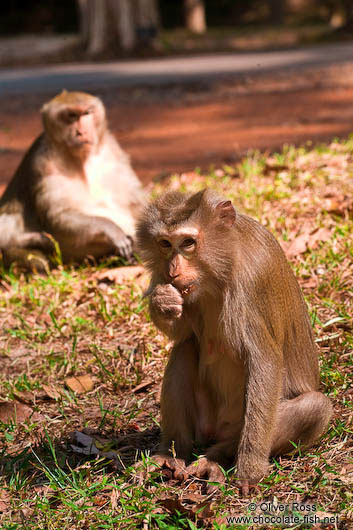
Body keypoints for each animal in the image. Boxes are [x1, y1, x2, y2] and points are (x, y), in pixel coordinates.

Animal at [0, 89, 144, 268]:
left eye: (87, 113)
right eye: (71, 116)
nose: (81, 132)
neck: (82, 159)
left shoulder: (113, 150)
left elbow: (135, 202)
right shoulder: (43, 162)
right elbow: (58, 215)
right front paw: (111, 229)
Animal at [136, 189, 332, 490]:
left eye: (189, 242)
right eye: (165, 243)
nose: (173, 270)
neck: (220, 266)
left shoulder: (251, 280)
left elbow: (265, 361)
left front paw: (250, 468)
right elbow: (183, 333)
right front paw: (162, 301)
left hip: (237, 424)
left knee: (316, 407)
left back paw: (217, 456)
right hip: (204, 423)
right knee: (185, 348)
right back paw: (171, 453)